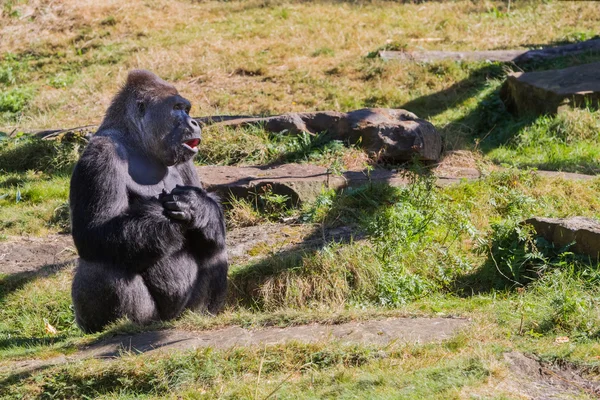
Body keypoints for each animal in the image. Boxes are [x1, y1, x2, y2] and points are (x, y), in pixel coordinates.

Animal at [69, 70, 227, 332]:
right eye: (177, 108)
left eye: (187, 109)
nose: (194, 122)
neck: (136, 141)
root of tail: (168, 321)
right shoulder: (100, 153)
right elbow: (94, 232)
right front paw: (160, 214)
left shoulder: (185, 161)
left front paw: (199, 206)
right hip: (147, 318)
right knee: (103, 260)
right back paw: (120, 325)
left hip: (183, 313)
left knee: (215, 247)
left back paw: (203, 314)